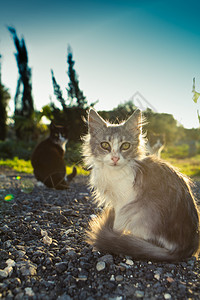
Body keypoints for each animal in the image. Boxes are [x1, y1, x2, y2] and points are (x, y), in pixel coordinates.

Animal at [82, 109, 199, 262]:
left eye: (125, 146)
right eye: (105, 145)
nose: (115, 158)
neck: (115, 172)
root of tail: (185, 249)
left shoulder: (123, 203)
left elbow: (117, 224)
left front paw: (113, 237)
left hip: (139, 214)